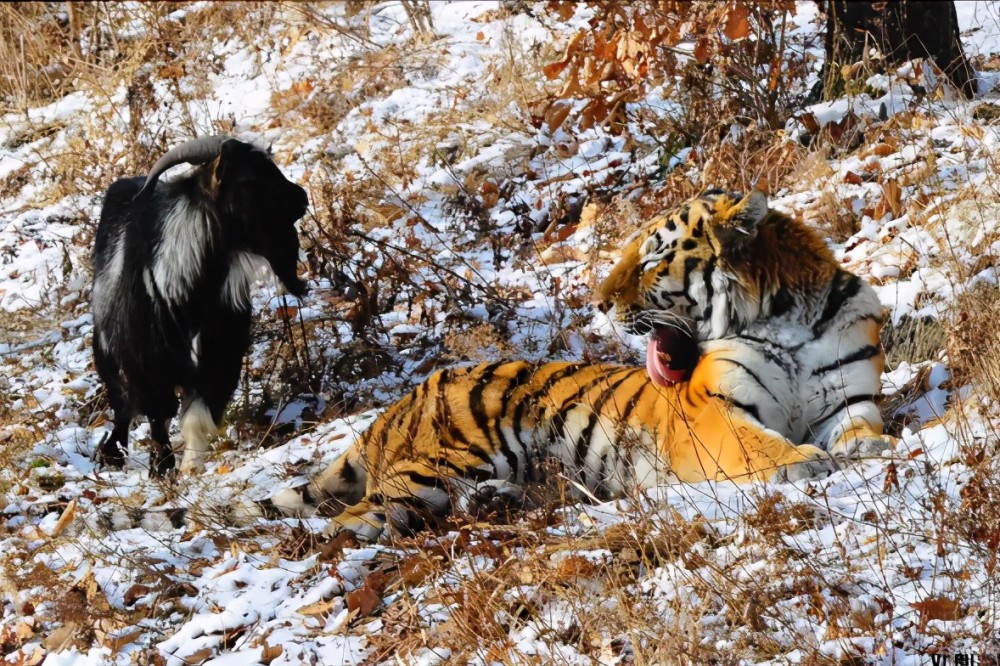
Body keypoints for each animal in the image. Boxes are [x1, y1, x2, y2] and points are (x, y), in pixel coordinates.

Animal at [92, 137, 308, 474]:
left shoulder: (220, 359)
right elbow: (157, 414)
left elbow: (197, 415)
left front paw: (190, 466)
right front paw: (162, 466)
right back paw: (113, 453)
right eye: (247, 179)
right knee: (122, 403)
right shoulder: (147, 365)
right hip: (107, 353)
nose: (301, 198)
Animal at [276, 187, 892, 540]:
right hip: (440, 465)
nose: (598, 302)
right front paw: (801, 461)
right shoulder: (708, 414)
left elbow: (859, 426)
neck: (787, 319)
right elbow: (755, 444)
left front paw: (868, 447)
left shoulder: (848, 398)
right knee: (345, 524)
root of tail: (403, 400)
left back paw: (495, 501)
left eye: (651, 259)